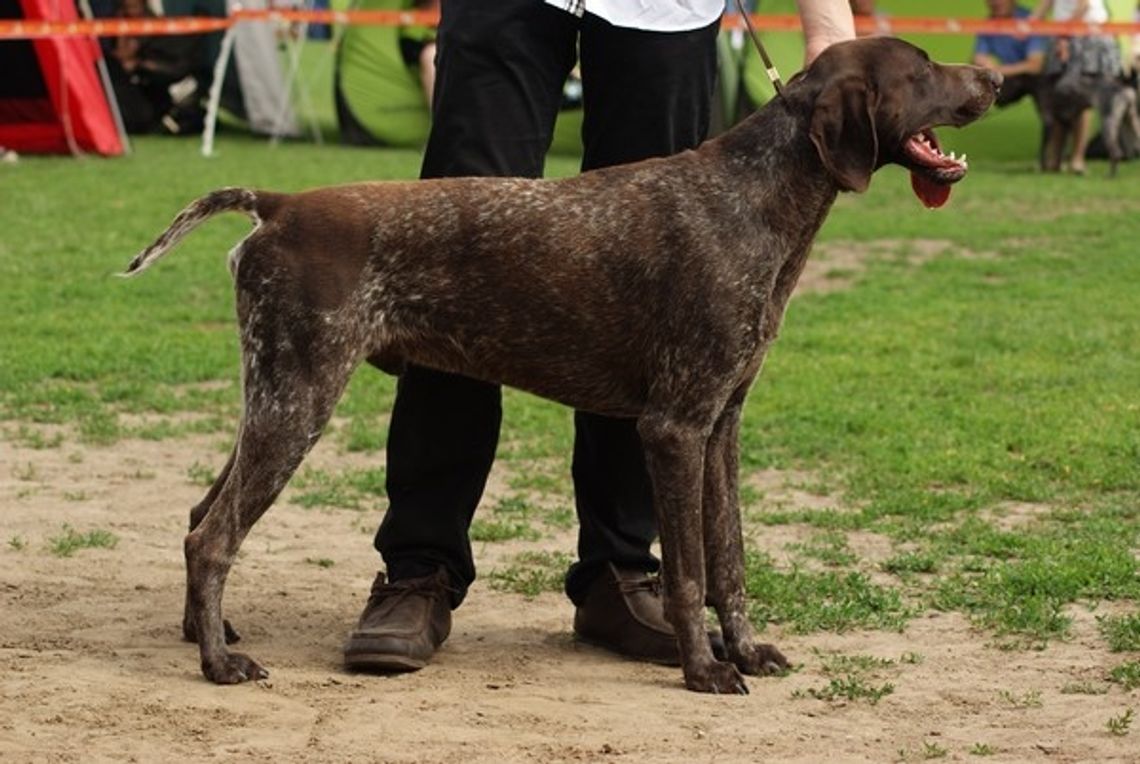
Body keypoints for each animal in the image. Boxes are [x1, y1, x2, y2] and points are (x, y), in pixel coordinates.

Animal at [127, 38, 998, 697]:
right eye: (922, 68)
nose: (992, 76)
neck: (756, 195)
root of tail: (279, 204)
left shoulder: (722, 426)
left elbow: (731, 560)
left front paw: (746, 650)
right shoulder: (675, 427)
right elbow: (688, 573)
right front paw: (703, 670)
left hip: (275, 394)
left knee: (200, 517)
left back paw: (203, 631)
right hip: (299, 398)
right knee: (214, 536)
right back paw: (218, 662)